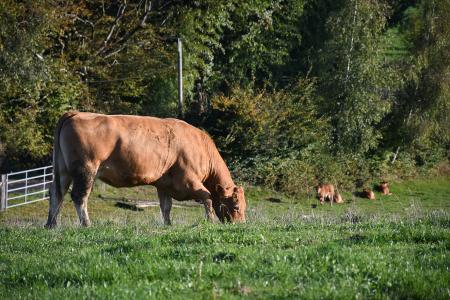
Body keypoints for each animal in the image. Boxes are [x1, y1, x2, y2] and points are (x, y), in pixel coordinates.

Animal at [45, 112, 248, 227]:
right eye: (237, 206)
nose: (240, 225)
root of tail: (75, 113)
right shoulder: (188, 180)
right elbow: (207, 197)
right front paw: (211, 221)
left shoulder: (164, 184)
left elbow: (166, 206)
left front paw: (168, 225)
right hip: (86, 169)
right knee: (79, 196)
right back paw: (87, 224)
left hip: (63, 170)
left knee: (56, 193)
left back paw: (51, 224)